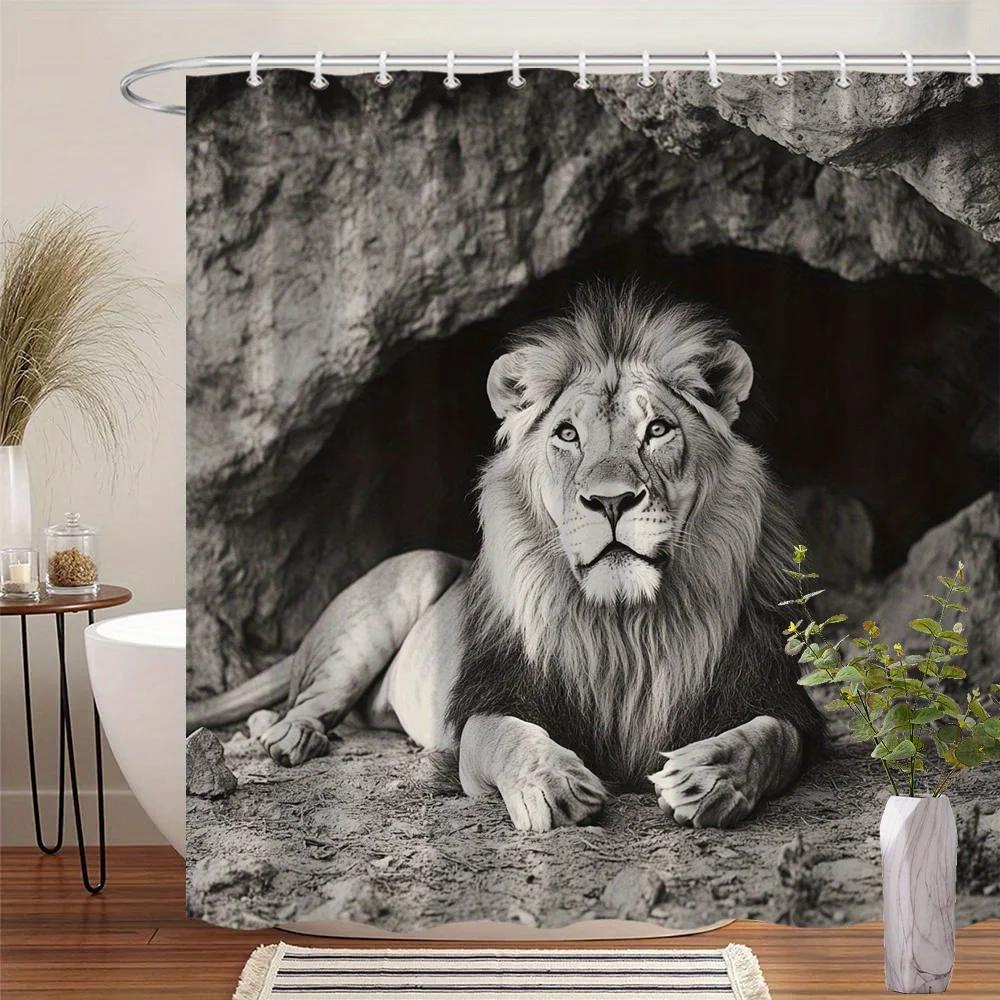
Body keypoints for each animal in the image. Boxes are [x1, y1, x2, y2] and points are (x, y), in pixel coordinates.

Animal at [188, 284, 825, 831]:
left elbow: (769, 738)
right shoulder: (488, 703)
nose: (611, 501)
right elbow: (506, 736)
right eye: (567, 435)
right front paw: (553, 782)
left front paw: (707, 776)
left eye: (658, 430)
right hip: (406, 581)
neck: (625, 625)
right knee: (312, 697)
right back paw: (289, 737)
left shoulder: (775, 694)